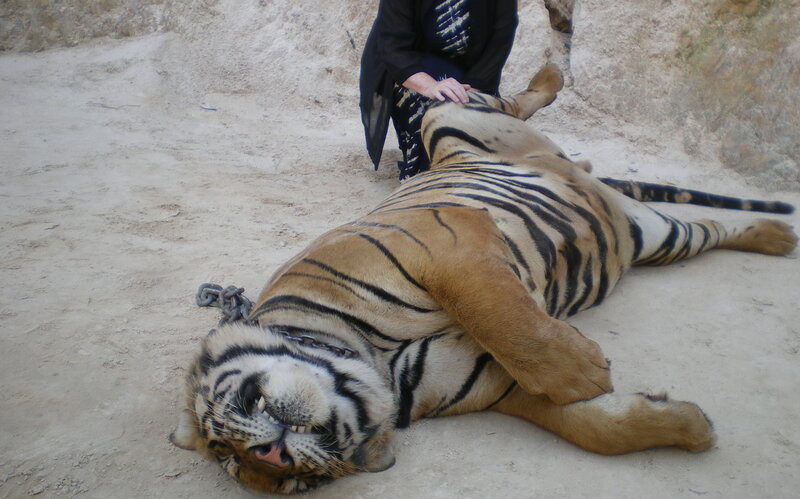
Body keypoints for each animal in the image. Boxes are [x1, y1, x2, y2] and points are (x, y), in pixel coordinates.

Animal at [170, 64, 797, 494]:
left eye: (245, 405)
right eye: (292, 482)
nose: (269, 457)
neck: (378, 366)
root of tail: (591, 178)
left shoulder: (449, 245)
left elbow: (503, 317)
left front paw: (586, 372)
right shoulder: (494, 383)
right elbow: (590, 427)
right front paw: (691, 427)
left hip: (450, 122)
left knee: (494, 97)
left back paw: (544, 76)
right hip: (662, 236)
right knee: (714, 225)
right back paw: (776, 236)